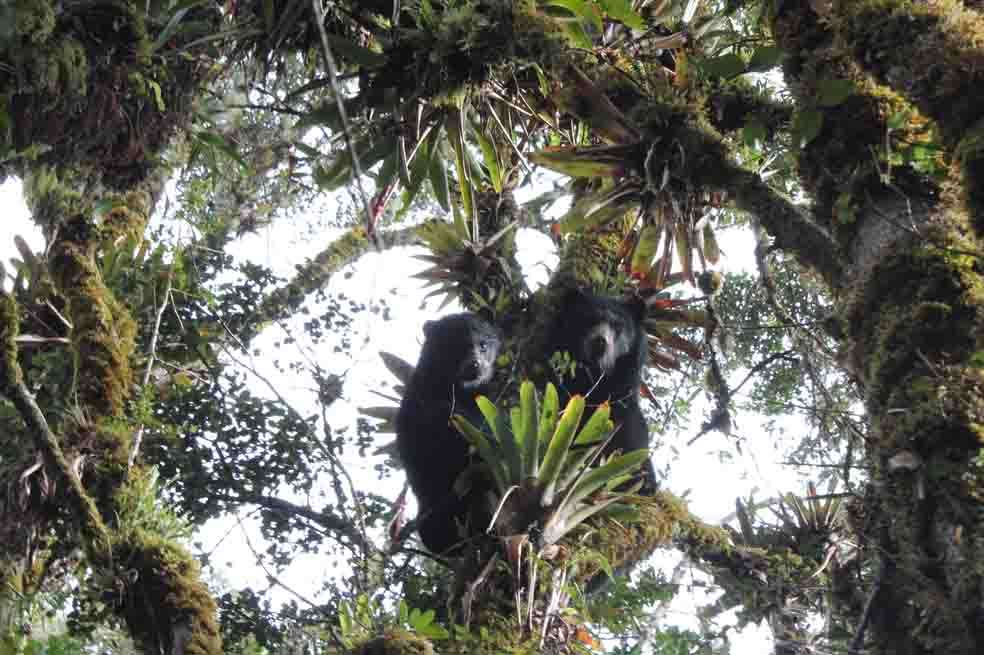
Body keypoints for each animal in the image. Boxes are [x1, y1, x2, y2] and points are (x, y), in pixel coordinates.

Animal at [548, 288, 656, 493]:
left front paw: (642, 481)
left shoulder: (623, 399)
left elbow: (632, 440)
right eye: (587, 319)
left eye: (618, 326)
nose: (600, 342)